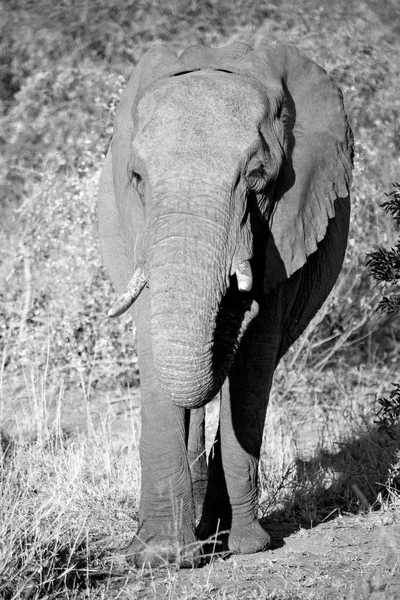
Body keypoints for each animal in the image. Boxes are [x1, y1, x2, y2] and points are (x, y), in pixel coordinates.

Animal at [97, 41, 354, 568]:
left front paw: (246, 547)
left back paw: (214, 535)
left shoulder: (287, 229)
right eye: (137, 178)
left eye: (257, 178)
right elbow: (155, 342)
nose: (236, 301)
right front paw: (162, 557)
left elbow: (254, 358)